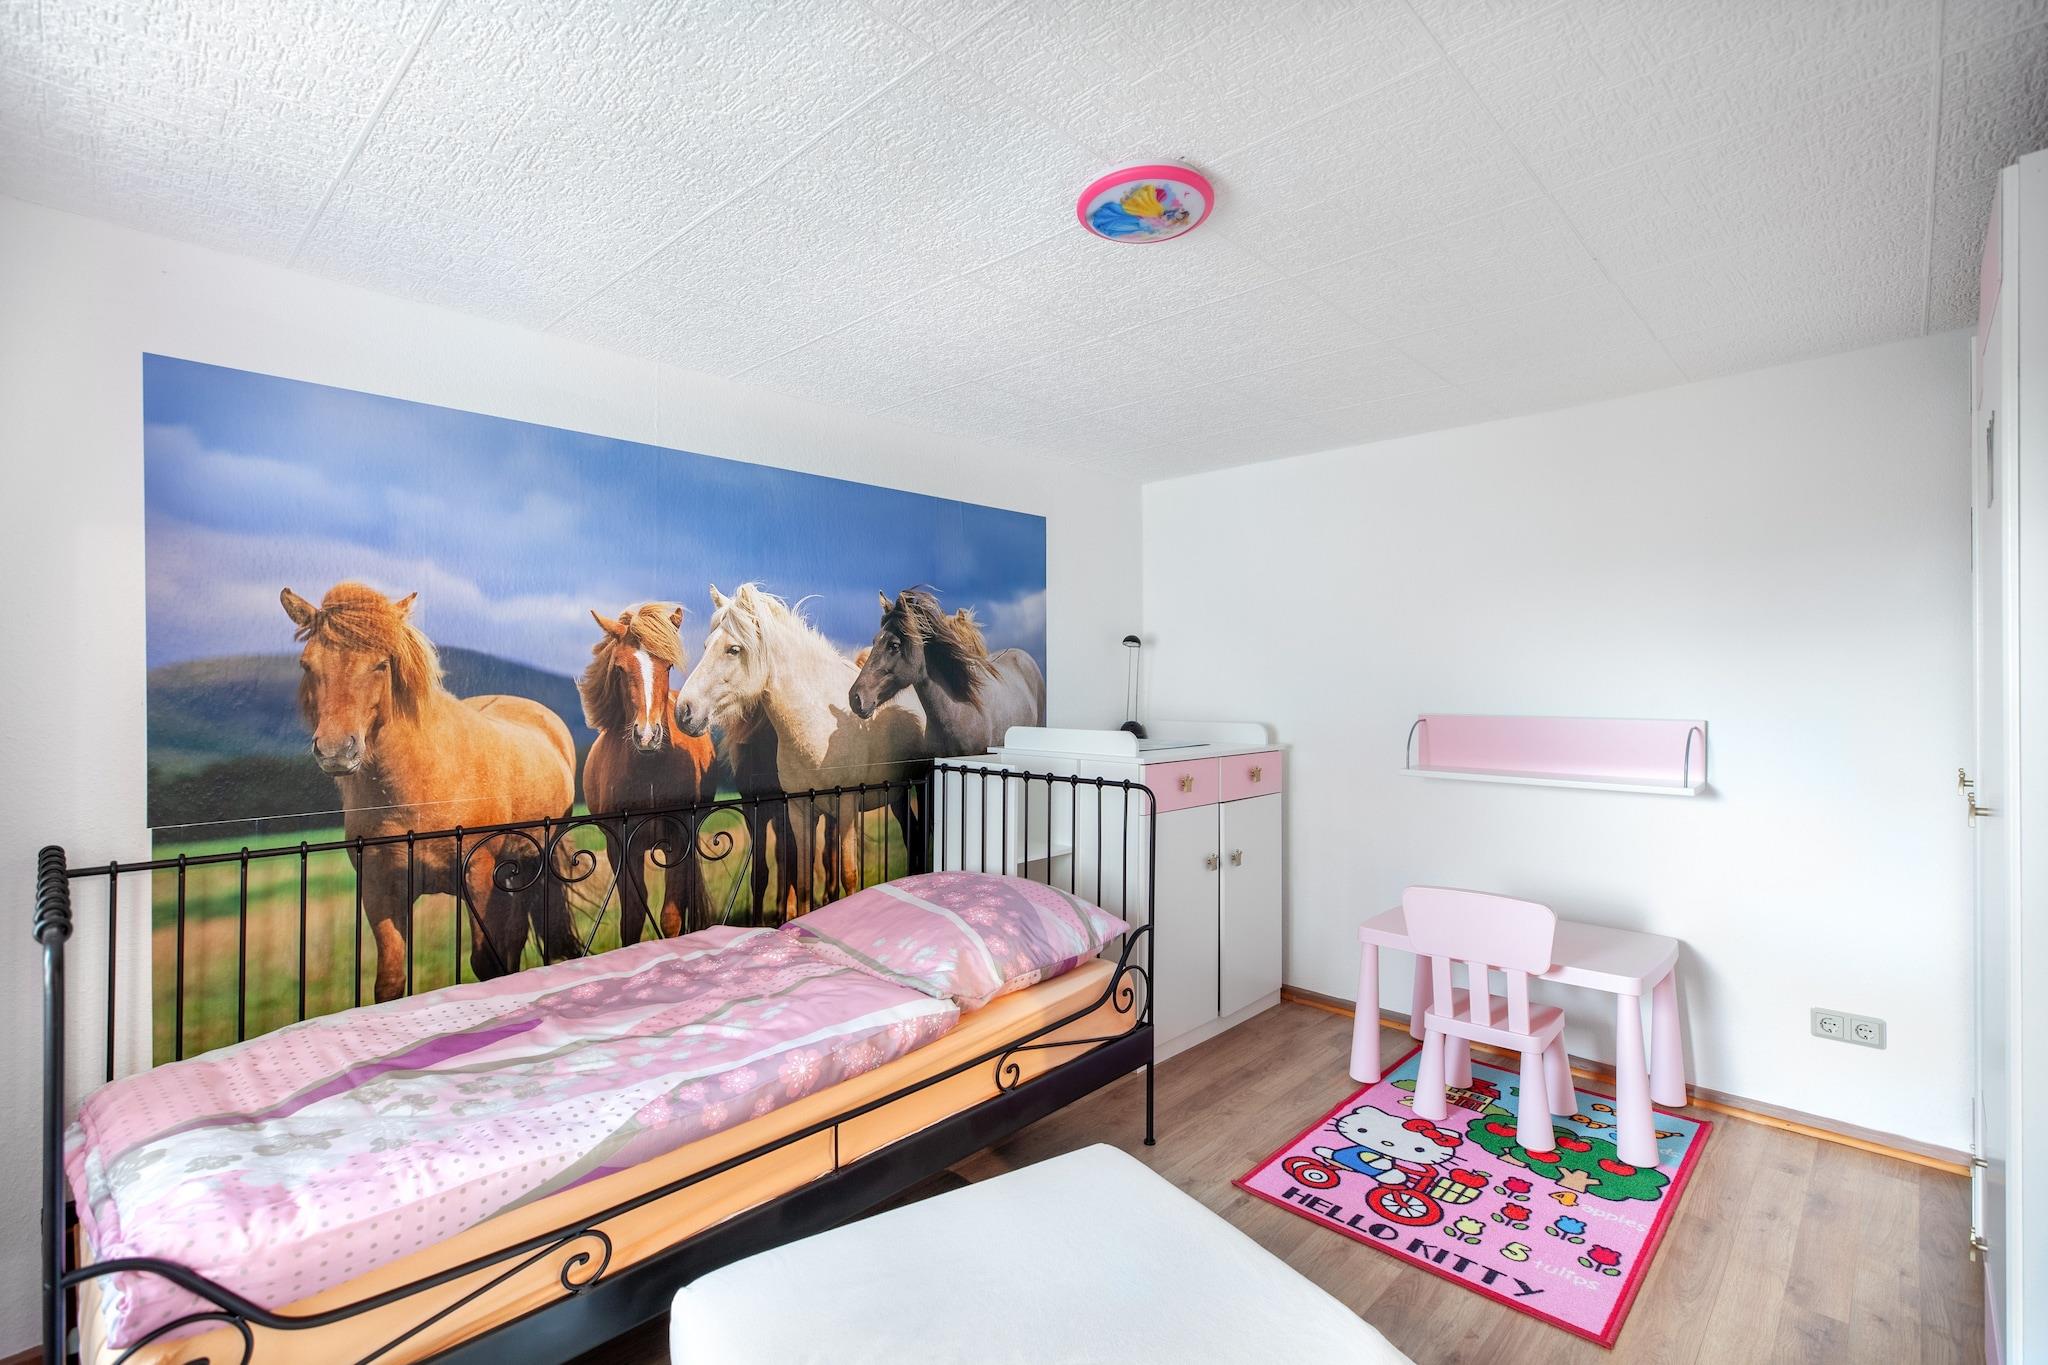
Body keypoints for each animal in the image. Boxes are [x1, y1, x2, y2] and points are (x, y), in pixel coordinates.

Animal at [280, 582, 581, 1002]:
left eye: (381, 664)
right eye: (307, 664)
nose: (337, 750)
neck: (417, 788)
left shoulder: (478, 876)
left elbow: (487, 962)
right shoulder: (380, 889)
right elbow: (390, 981)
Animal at [578, 603, 717, 943]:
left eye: (667, 666)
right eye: (619, 668)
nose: (646, 736)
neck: (650, 775)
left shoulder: (680, 840)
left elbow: (671, 915)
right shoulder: (621, 849)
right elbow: (632, 916)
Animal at [675, 584, 927, 913]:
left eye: (734, 649)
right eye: (706, 646)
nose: (684, 711)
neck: (817, 724)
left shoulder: (847, 807)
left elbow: (848, 875)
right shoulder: (798, 810)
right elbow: (803, 880)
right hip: (896, 796)